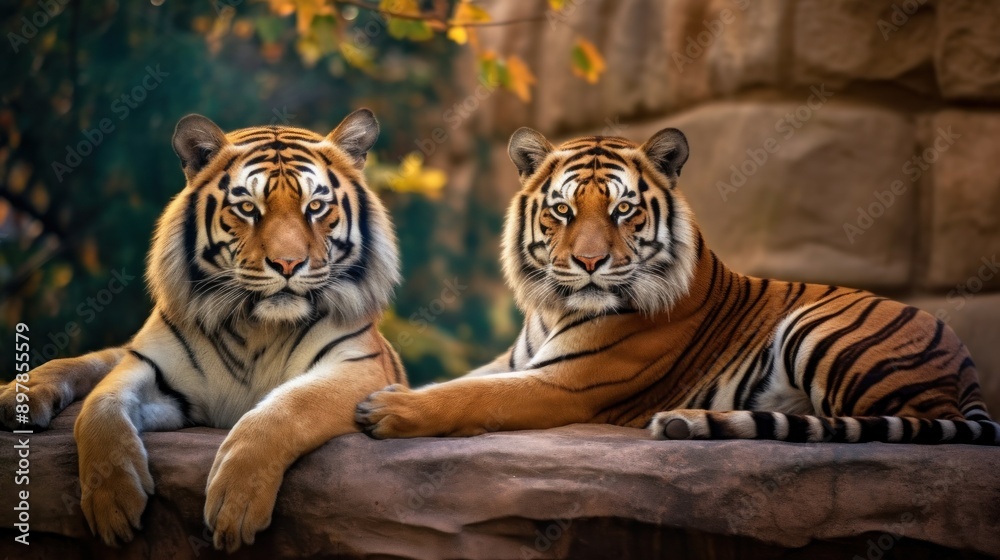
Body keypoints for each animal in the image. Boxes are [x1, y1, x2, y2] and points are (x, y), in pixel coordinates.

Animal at [0, 109, 406, 551]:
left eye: (315, 206)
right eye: (247, 207)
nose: (287, 264)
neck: (258, 325)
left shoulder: (359, 368)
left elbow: (287, 407)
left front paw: (236, 505)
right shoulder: (151, 366)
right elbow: (99, 409)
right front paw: (112, 503)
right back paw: (19, 397)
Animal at [355, 126, 1000, 446]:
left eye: (623, 210)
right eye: (563, 210)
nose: (589, 263)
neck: (553, 308)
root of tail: (965, 367)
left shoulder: (565, 385)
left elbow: (471, 396)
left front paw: (386, 410)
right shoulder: (517, 361)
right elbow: (460, 382)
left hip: (818, 327)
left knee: (879, 428)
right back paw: (689, 423)